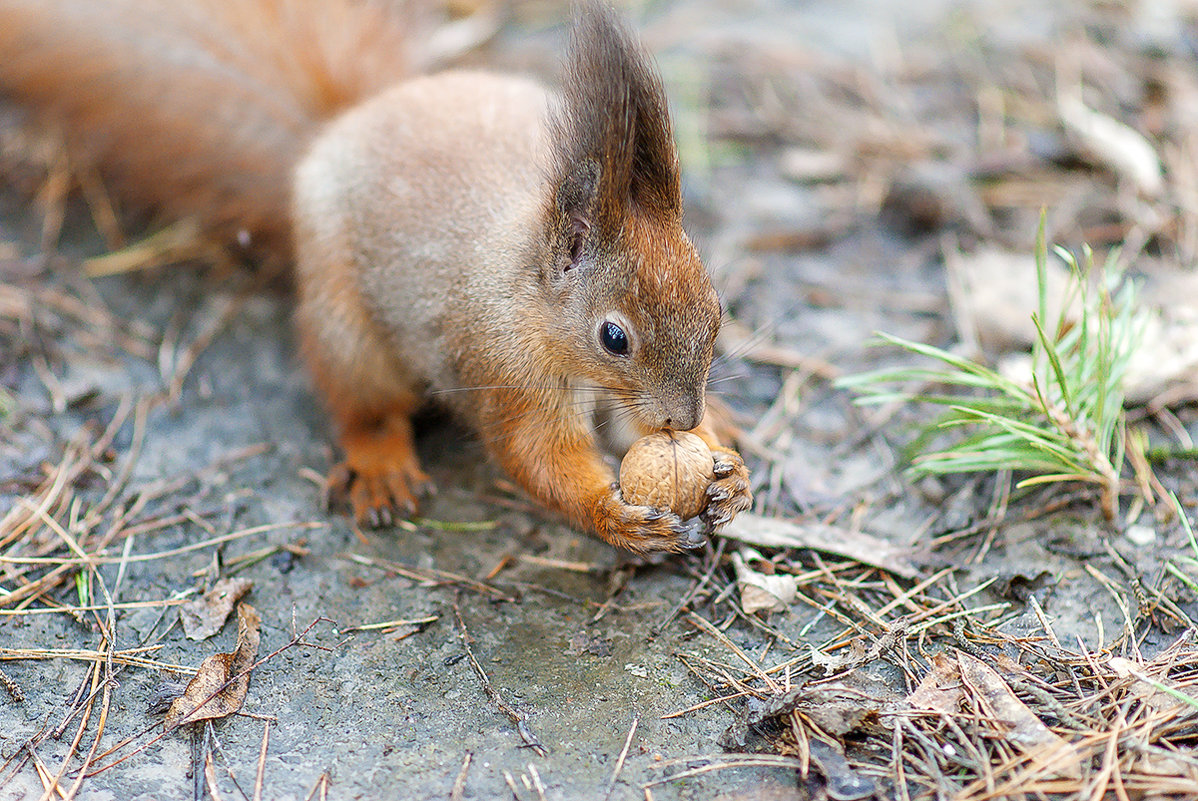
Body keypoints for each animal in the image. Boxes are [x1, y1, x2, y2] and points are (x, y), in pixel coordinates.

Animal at [0, 1, 747, 550]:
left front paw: (724, 471)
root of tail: (342, 127)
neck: (526, 296)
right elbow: (534, 458)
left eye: (718, 311)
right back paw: (380, 464)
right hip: (346, 326)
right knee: (361, 405)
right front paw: (614, 516)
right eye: (614, 338)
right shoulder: (504, 371)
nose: (683, 418)